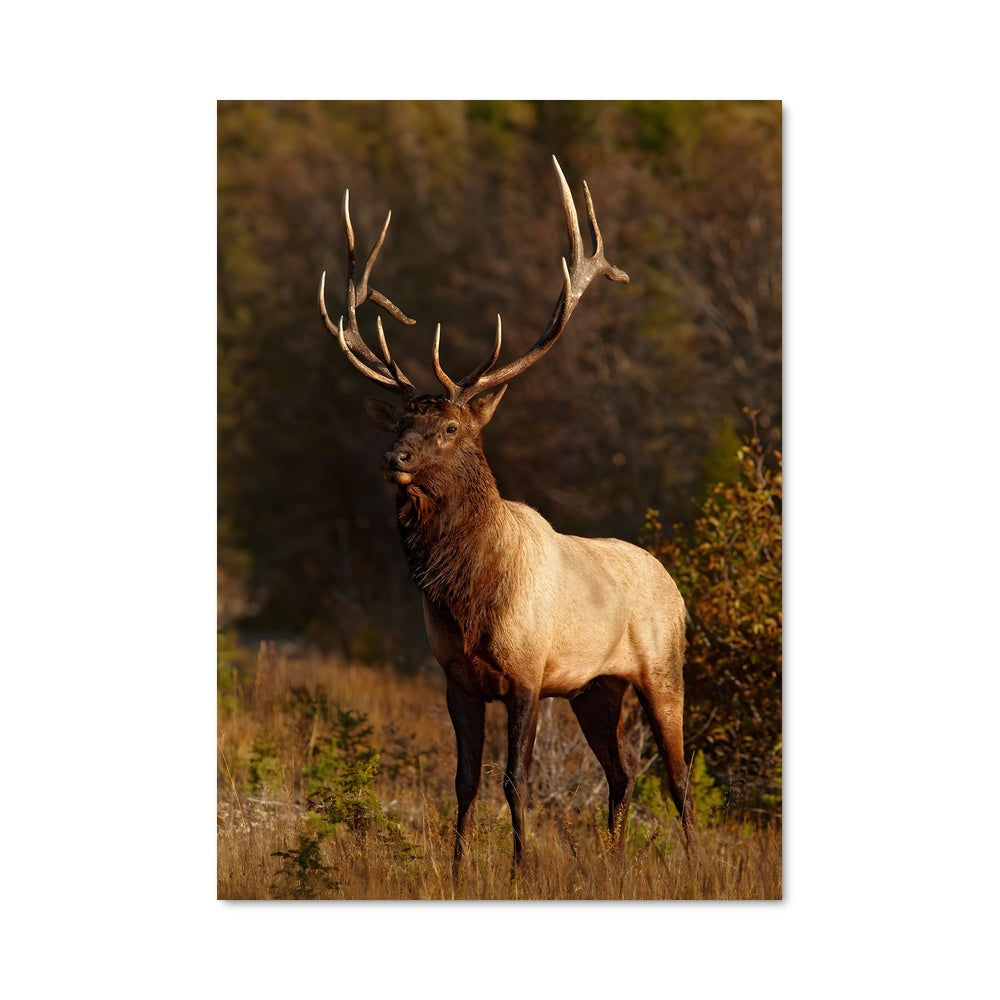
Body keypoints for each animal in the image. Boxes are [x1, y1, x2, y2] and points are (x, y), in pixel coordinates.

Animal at [318, 156, 695, 870]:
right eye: (403, 419)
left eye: (450, 428)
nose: (392, 457)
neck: (467, 599)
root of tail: (676, 587)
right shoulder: (457, 677)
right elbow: (464, 779)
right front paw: (459, 866)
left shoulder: (527, 672)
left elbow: (515, 779)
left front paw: (522, 867)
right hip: (596, 688)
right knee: (624, 773)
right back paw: (614, 858)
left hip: (663, 668)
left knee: (678, 776)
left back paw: (692, 862)